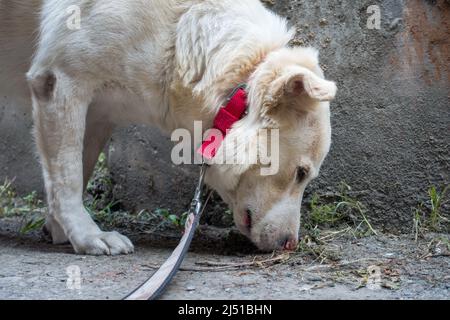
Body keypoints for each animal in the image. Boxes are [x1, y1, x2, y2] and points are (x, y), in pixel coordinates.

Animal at [0, 0, 338, 255]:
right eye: (301, 173)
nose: (289, 245)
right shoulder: (61, 81)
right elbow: (68, 177)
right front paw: (86, 236)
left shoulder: (97, 114)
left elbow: (76, 172)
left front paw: (60, 229)